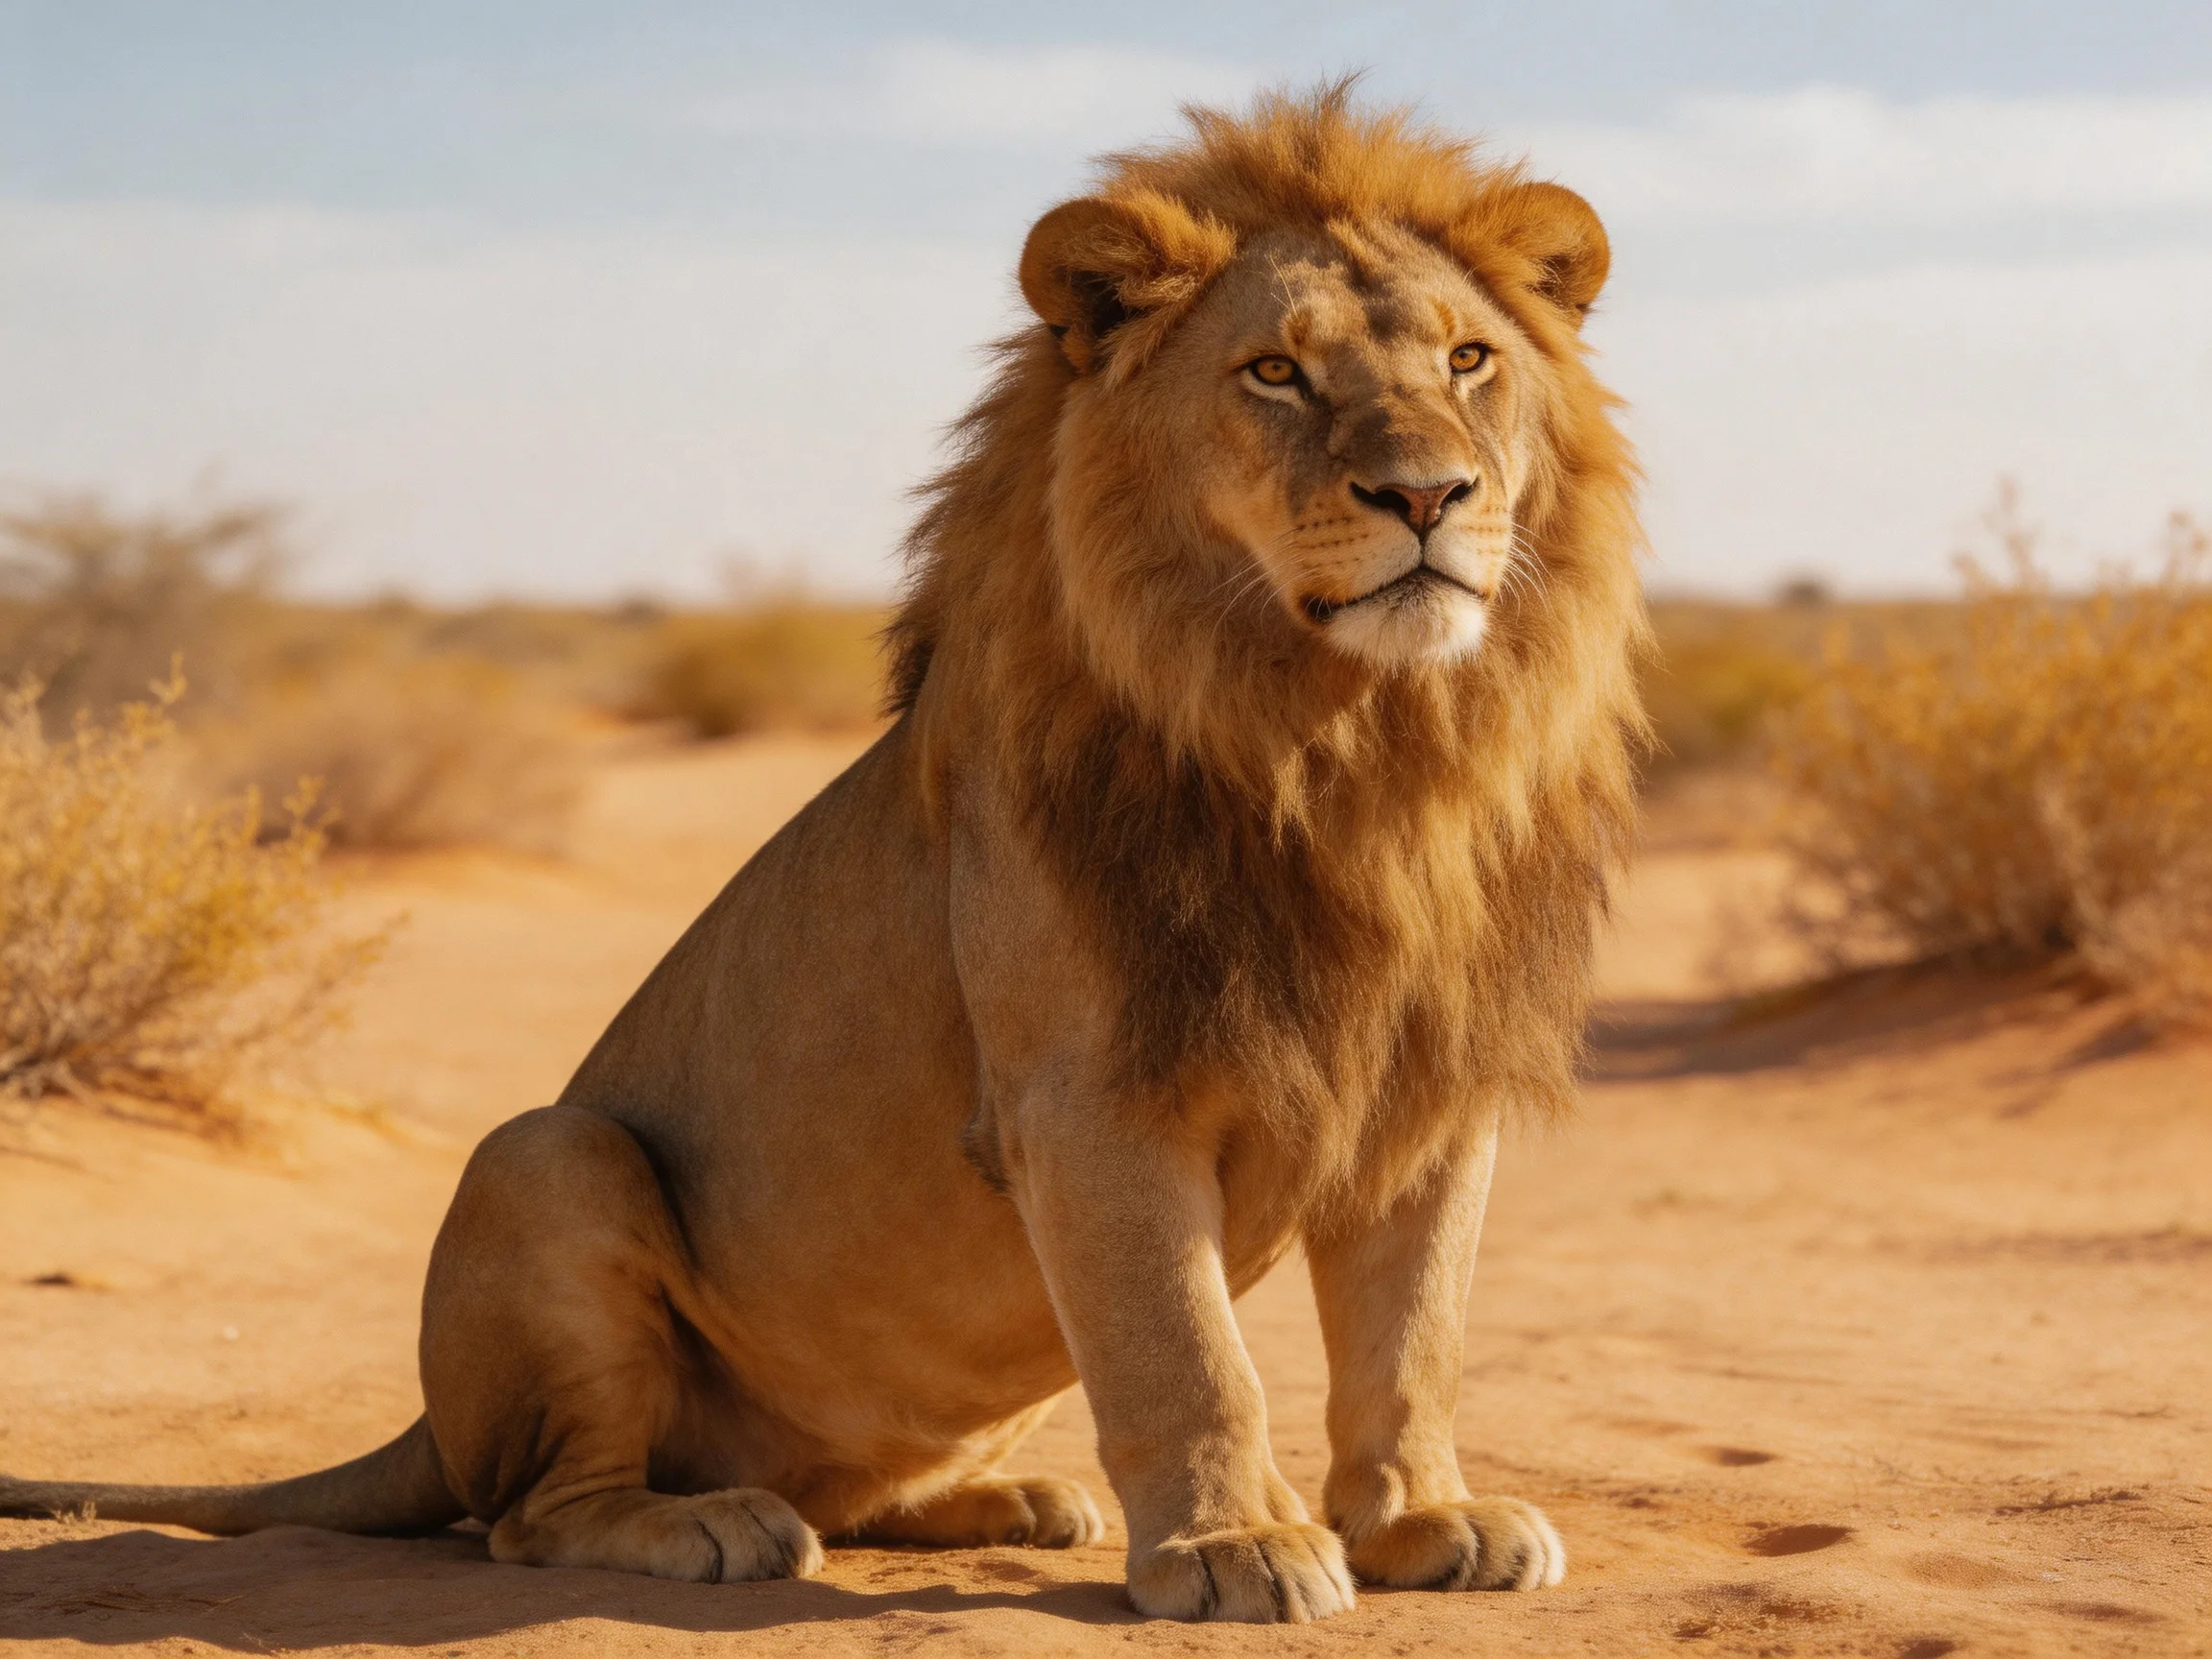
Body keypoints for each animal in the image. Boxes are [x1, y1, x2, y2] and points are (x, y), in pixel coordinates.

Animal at [1, 85, 1645, 1624]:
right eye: (1276, 373)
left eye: (1469, 363)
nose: (1427, 496)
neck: (1355, 748)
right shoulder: (1089, 1102)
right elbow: (1187, 1353)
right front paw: (1235, 1545)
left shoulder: (1433, 1090)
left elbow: (1414, 1338)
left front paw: (1426, 1520)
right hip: (547, 1154)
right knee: (534, 1511)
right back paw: (712, 1524)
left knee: (861, 1486)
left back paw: (1014, 1501)